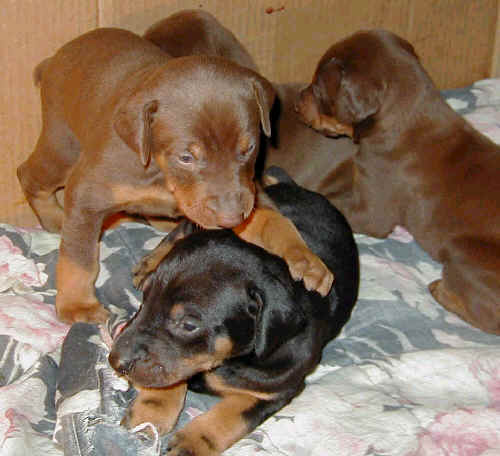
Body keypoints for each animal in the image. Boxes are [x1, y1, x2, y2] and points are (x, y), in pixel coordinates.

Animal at [18, 25, 332, 326]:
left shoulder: (248, 191)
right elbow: (79, 257)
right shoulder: (89, 192)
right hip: (63, 146)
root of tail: (55, 58)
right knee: (29, 175)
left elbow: (273, 220)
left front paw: (305, 258)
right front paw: (77, 306)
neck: (162, 174)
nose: (230, 219)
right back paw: (54, 218)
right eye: (186, 157)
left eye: (249, 148)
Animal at [109, 168, 360, 456]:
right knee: (179, 231)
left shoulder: (274, 390)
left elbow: (232, 414)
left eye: (189, 325)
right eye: (146, 299)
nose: (115, 361)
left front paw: (190, 443)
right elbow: (170, 372)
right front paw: (150, 413)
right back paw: (150, 262)